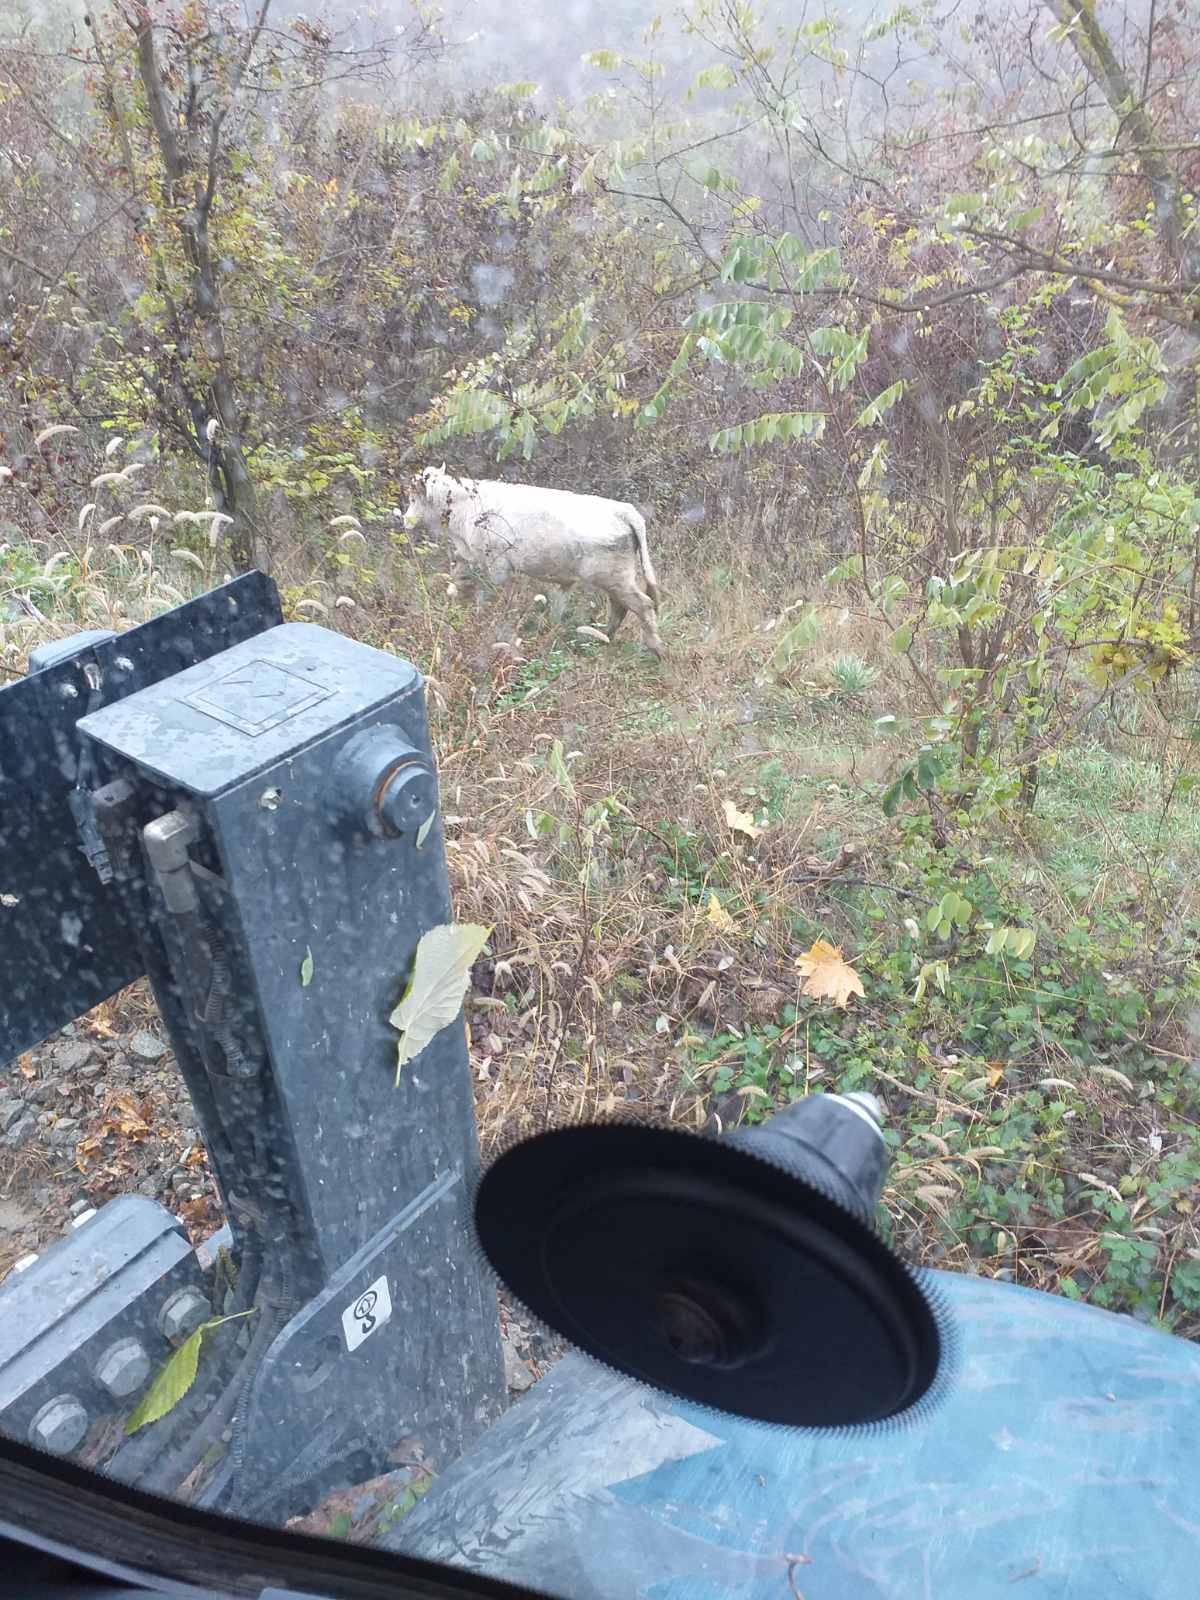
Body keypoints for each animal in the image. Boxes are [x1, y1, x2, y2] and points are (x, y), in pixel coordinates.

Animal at [406, 467, 668, 659]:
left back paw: (656, 649)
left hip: (613, 578)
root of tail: (623, 510)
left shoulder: (497, 565)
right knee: (620, 607)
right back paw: (602, 636)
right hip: (616, 579)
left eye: (413, 498)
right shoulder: (469, 557)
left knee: (643, 605)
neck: (468, 506)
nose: (405, 520)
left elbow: (490, 597)